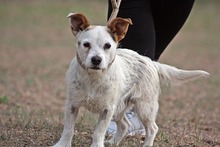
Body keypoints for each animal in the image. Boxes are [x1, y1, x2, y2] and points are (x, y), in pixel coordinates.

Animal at [52, 12, 208, 147]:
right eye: (86, 44)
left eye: (107, 46)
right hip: (119, 108)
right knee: (125, 125)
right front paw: (62, 145)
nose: (96, 60)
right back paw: (113, 142)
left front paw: (96, 145)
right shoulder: (72, 105)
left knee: (152, 128)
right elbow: (68, 129)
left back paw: (147, 145)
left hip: (144, 107)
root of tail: (151, 62)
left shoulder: (107, 110)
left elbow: (99, 132)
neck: (93, 77)